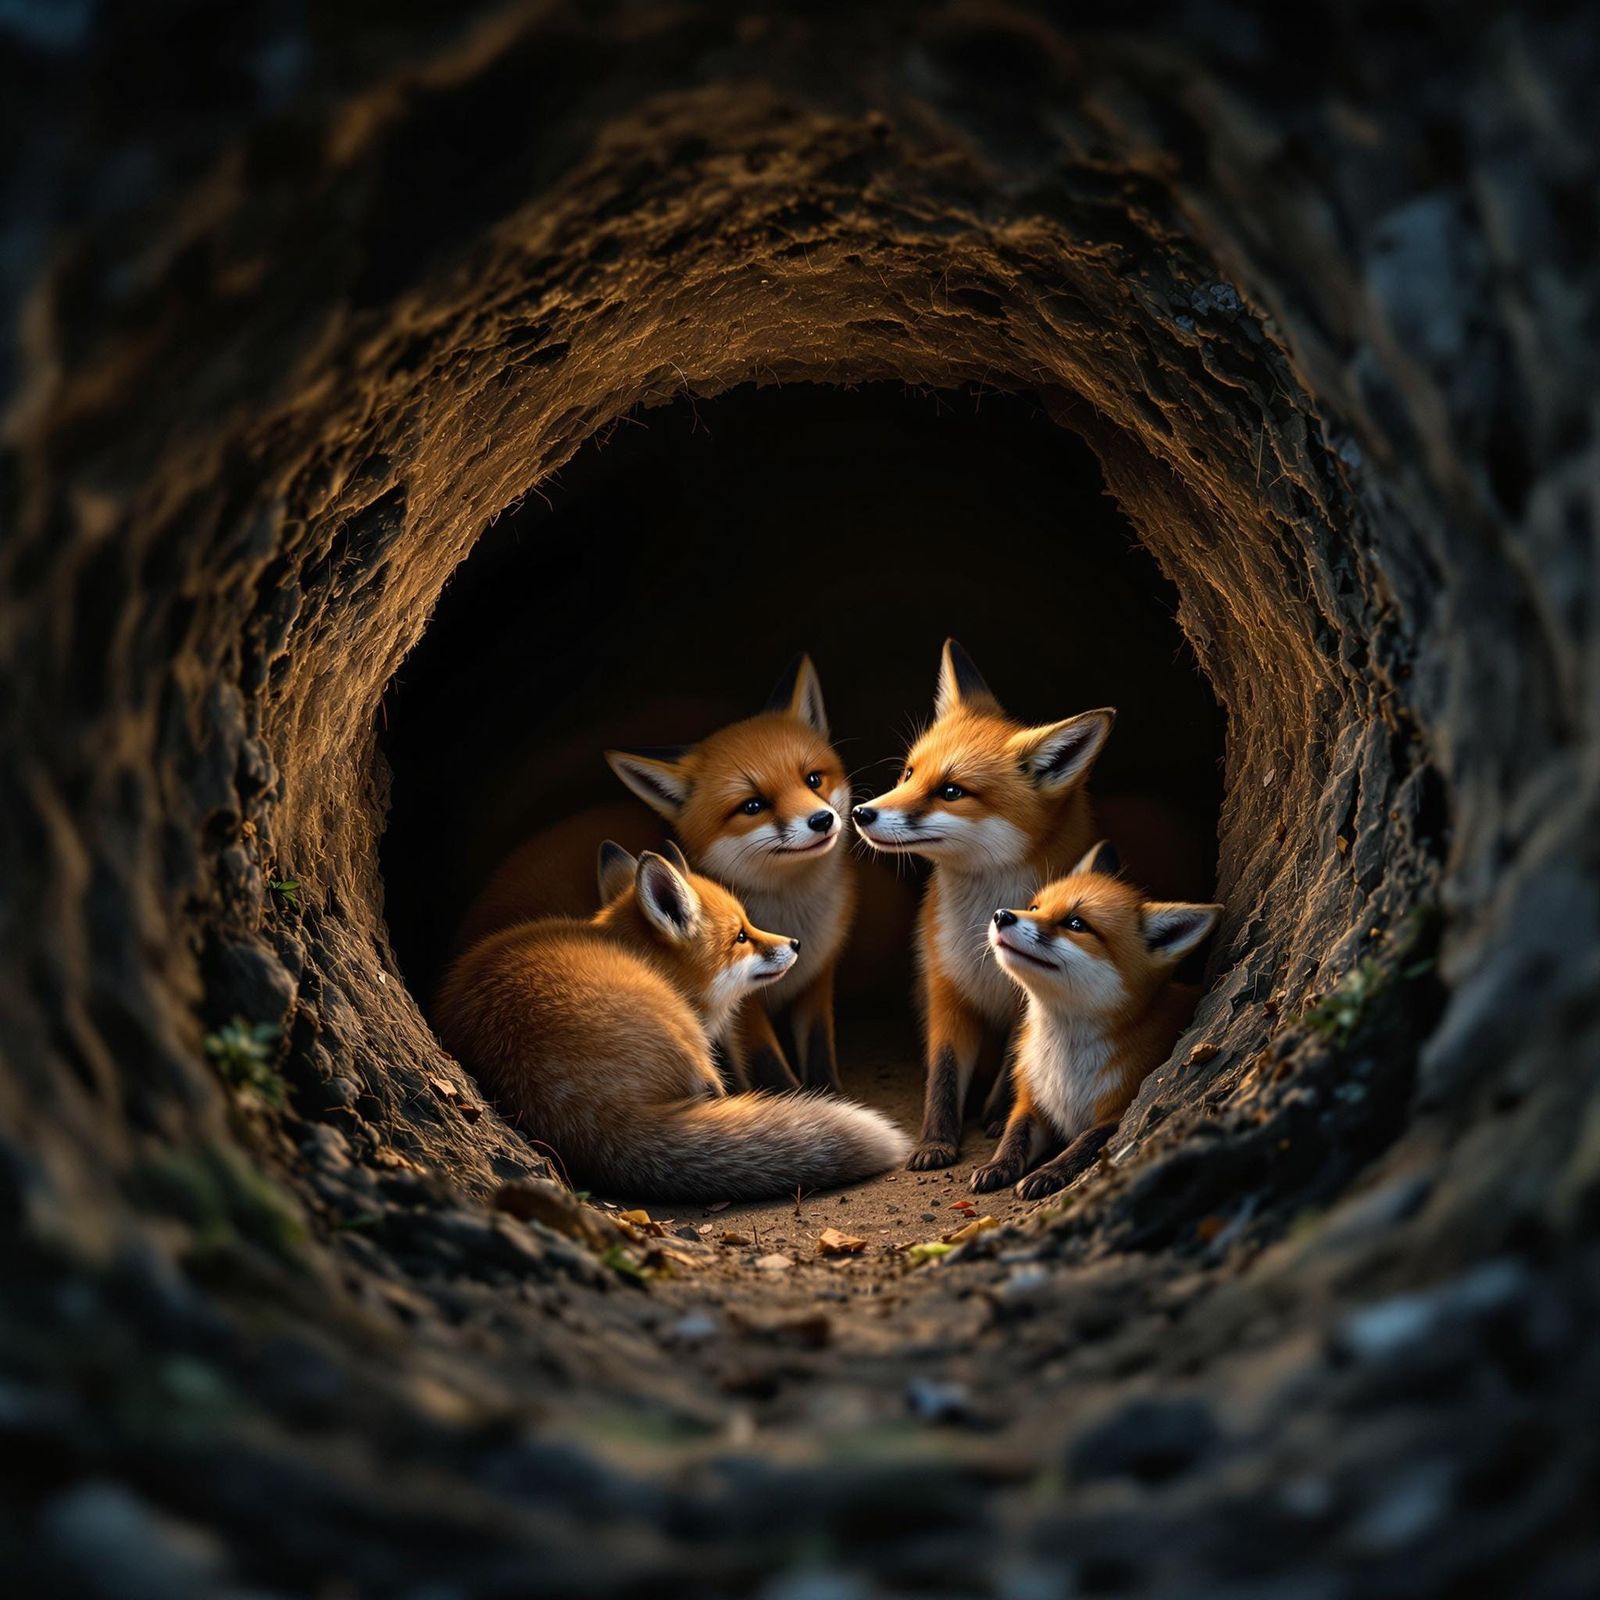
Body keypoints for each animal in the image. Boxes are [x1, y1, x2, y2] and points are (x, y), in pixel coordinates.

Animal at [435, 845, 909, 1200]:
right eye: (741, 936)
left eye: (749, 924)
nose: (794, 944)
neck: (645, 959)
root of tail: (594, 1121)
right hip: (688, 1044)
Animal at [605, 655, 856, 1095]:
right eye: (753, 805)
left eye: (813, 779)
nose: (822, 820)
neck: (794, 915)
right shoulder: (742, 999)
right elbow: (766, 1061)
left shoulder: (817, 979)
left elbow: (820, 1048)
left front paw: (832, 1093)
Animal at [853, 639, 1117, 1169]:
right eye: (909, 773)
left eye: (952, 791)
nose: (859, 813)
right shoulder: (946, 988)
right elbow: (944, 1074)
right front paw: (935, 1141)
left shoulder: (1030, 1000)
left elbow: (1016, 1064)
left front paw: (997, 1115)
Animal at [972, 841, 1221, 1199]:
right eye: (1034, 907)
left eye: (1076, 924)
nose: (1001, 915)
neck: (1066, 1065)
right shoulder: (1034, 1101)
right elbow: (1014, 1135)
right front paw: (997, 1165)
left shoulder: (1122, 1109)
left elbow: (1083, 1145)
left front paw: (1048, 1172)